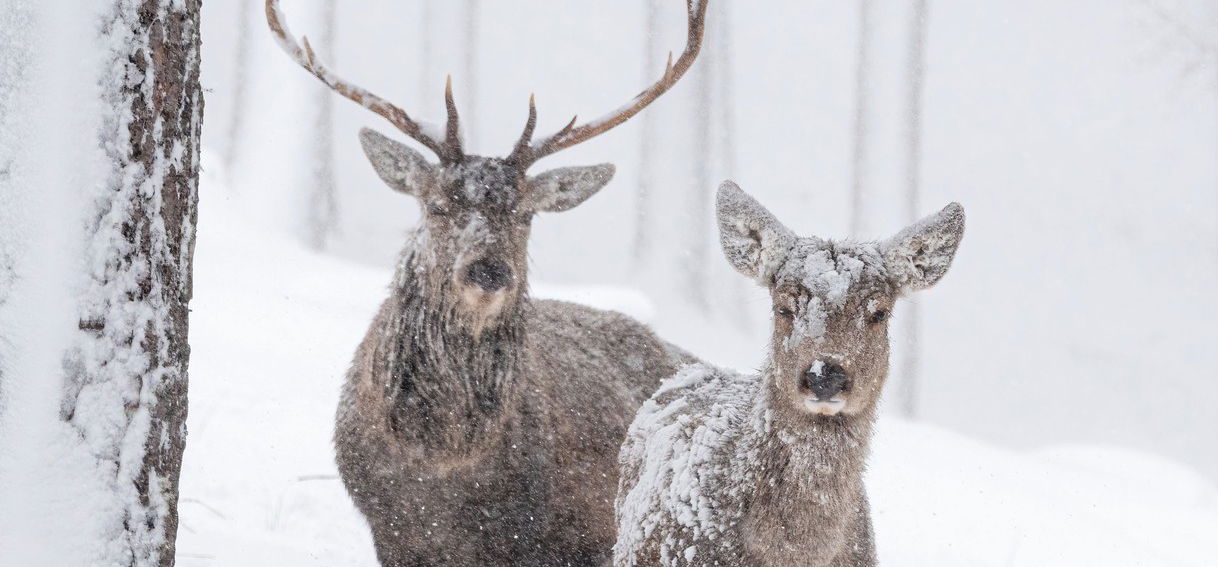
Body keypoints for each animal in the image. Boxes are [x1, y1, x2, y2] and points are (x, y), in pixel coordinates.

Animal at [266, 2, 706, 564]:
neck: (443, 467)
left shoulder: (554, 537)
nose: (489, 271)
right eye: (436, 205)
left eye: (525, 214)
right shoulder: (391, 533)